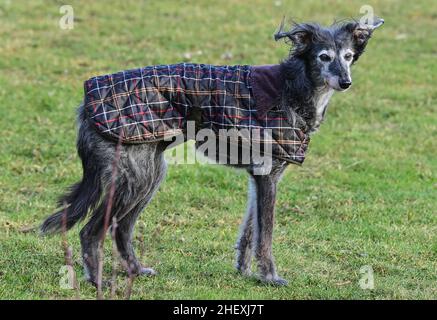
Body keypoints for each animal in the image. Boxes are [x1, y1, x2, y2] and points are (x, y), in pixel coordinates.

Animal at [41, 18, 382, 288]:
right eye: (324, 57)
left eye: (348, 56)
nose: (346, 82)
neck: (294, 86)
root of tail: (87, 103)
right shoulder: (267, 177)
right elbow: (266, 235)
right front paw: (270, 277)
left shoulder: (259, 179)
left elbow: (250, 233)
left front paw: (245, 272)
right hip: (135, 180)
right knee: (91, 231)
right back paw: (97, 280)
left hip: (148, 176)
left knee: (121, 229)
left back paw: (135, 270)